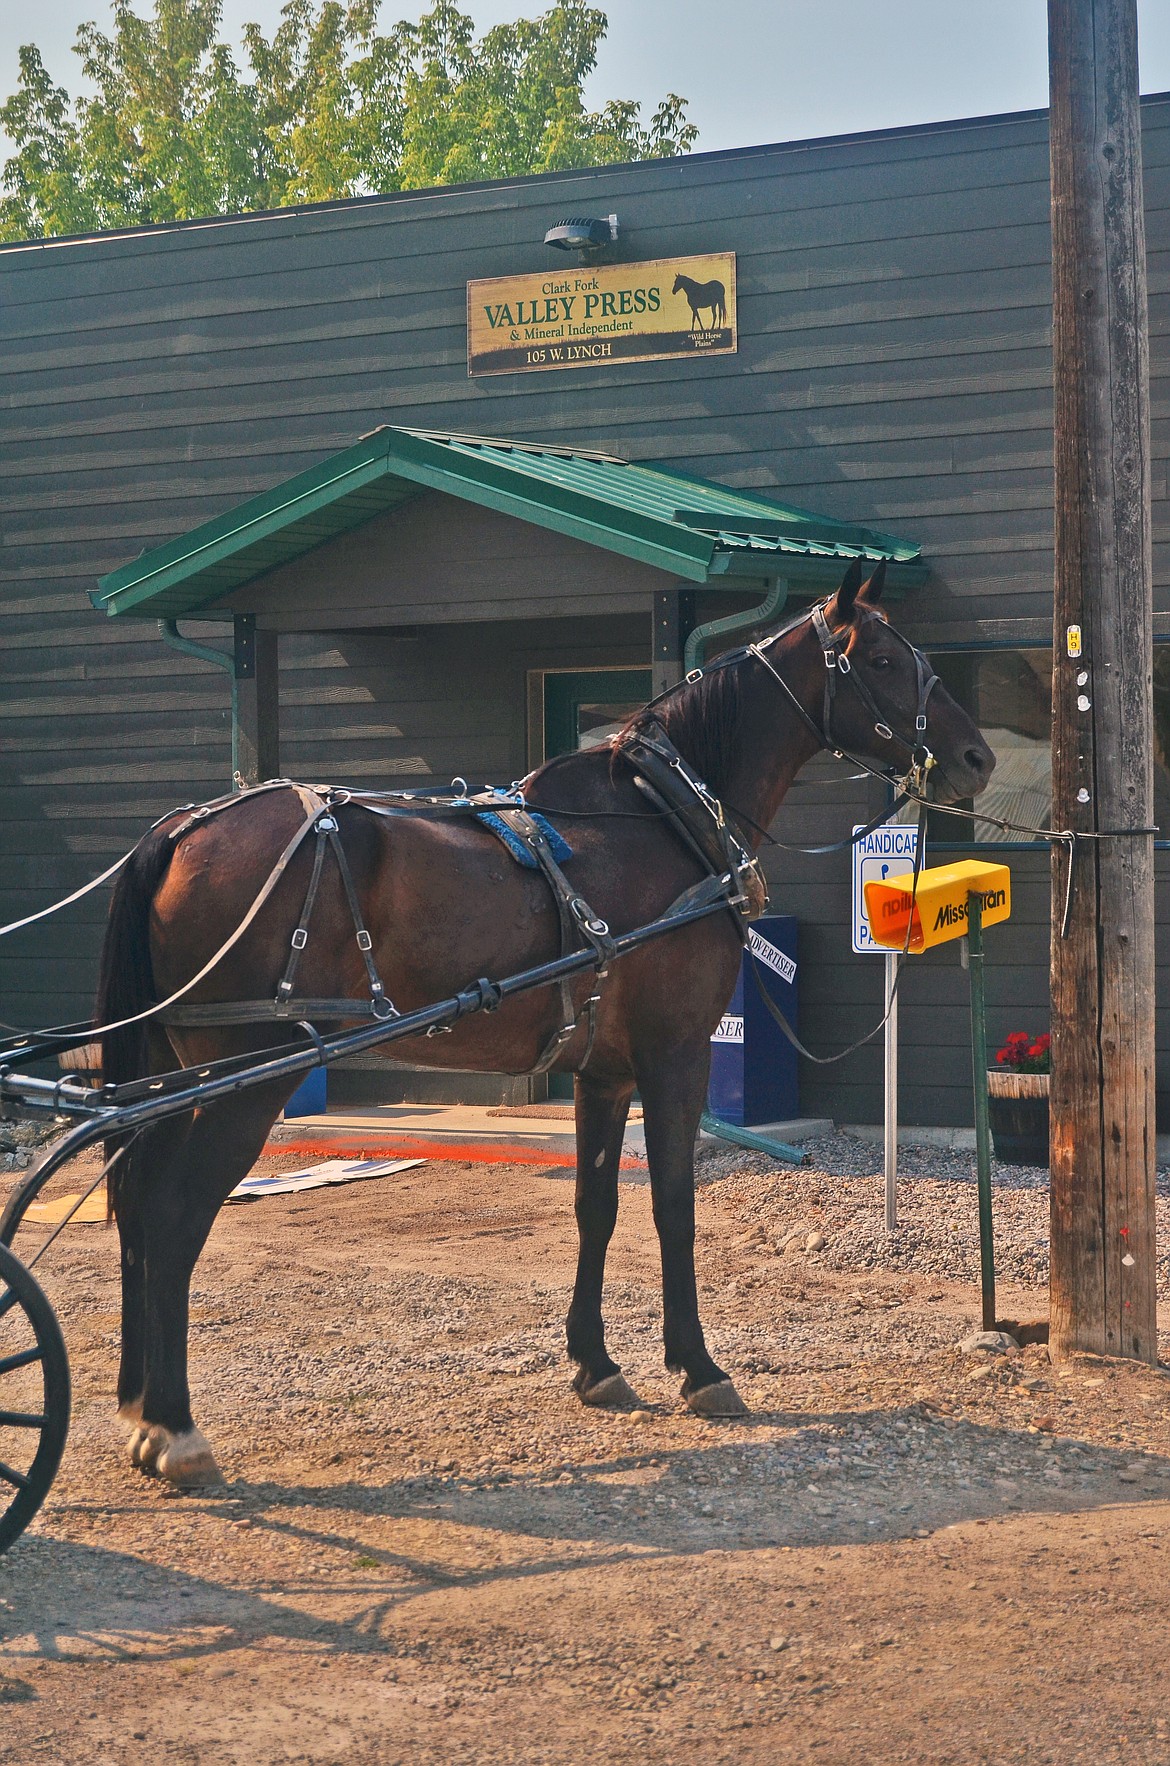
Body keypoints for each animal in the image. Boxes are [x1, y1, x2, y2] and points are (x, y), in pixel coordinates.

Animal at [98, 565, 995, 1490]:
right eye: (883, 658)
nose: (977, 757)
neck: (667, 819)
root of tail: (182, 830)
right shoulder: (676, 1056)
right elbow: (672, 1204)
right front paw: (699, 1368)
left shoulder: (601, 1070)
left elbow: (595, 1205)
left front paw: (595, 1364)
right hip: (246, 1079)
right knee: (172, 1215)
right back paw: (175, 1427)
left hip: (171, 1076)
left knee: (134, 1204)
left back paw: (139, 1410)